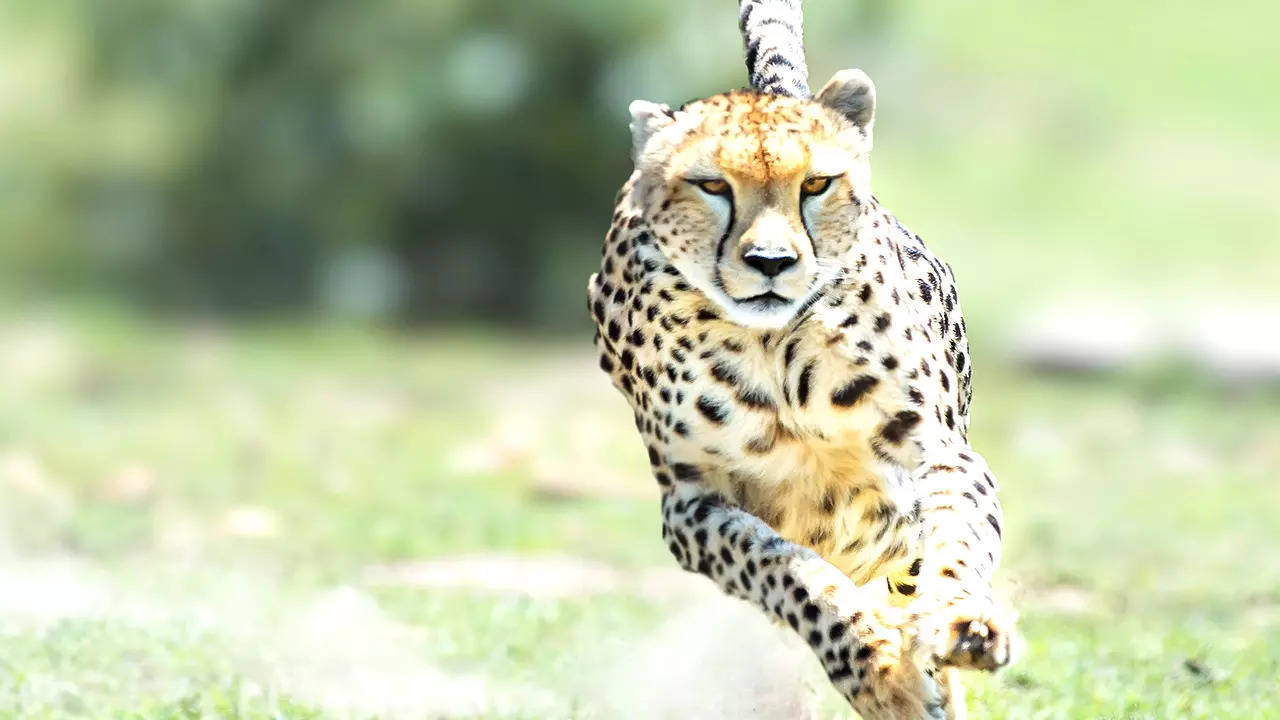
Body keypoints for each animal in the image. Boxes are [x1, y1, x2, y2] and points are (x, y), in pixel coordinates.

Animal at [588, 2, 1018, 712]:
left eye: (816, 183)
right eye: (712, 185)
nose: (771, 262)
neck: (772, 349)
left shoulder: (937, 451)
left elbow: (959, 534)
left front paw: (962, 620)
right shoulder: (691, 504)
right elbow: (786, 572)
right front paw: (879, 671)